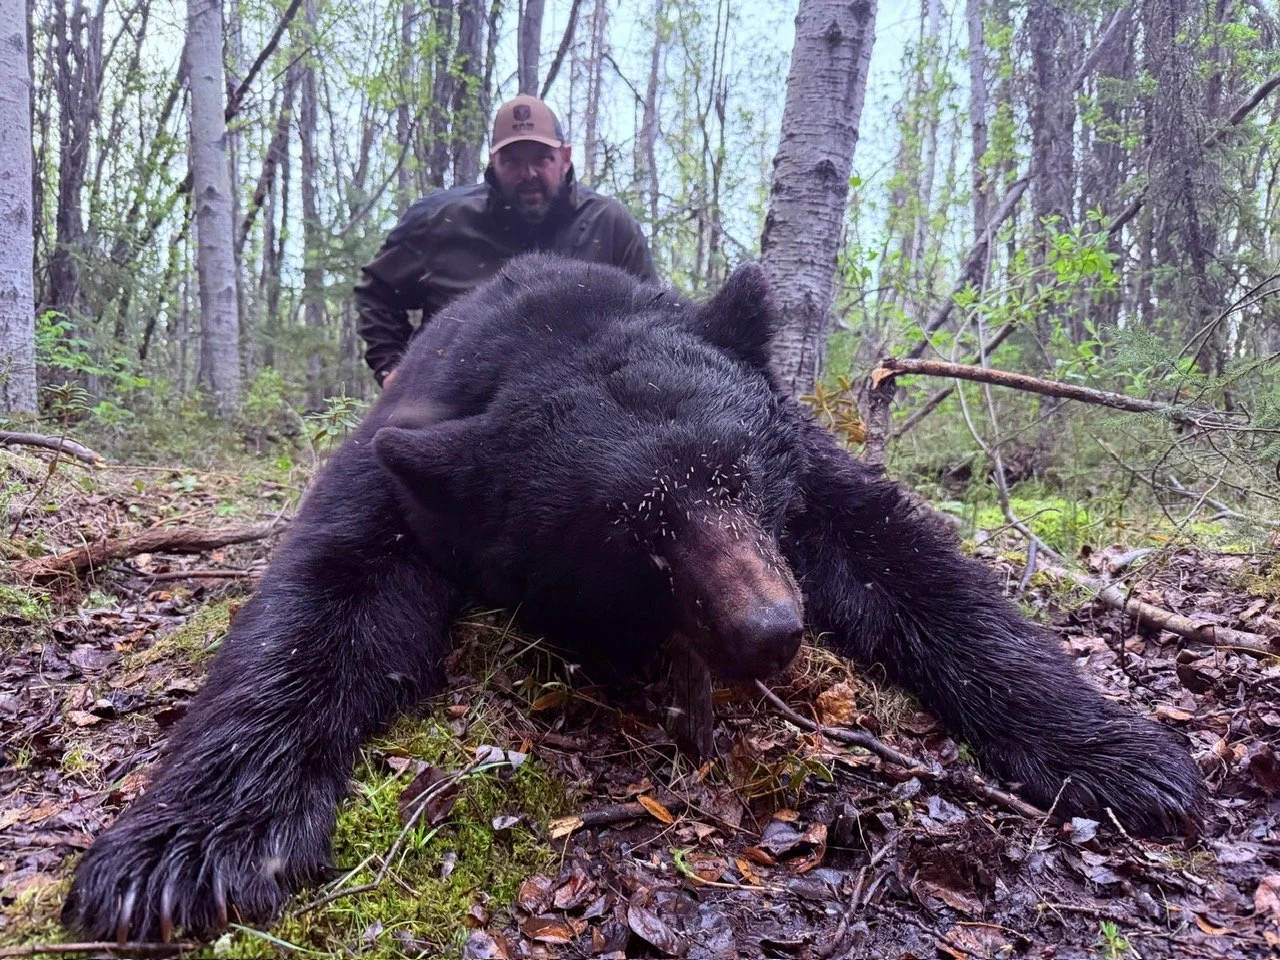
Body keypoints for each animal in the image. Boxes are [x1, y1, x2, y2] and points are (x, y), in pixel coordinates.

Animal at [62, 254, 1204, 943]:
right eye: (628, 531)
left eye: (740, 475)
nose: (769, 631)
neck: (548, 323)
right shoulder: (410, 463)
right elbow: (322, 599)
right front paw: (183, 851)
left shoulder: (804, 469)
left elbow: (911, 560)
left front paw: (1120, 754)